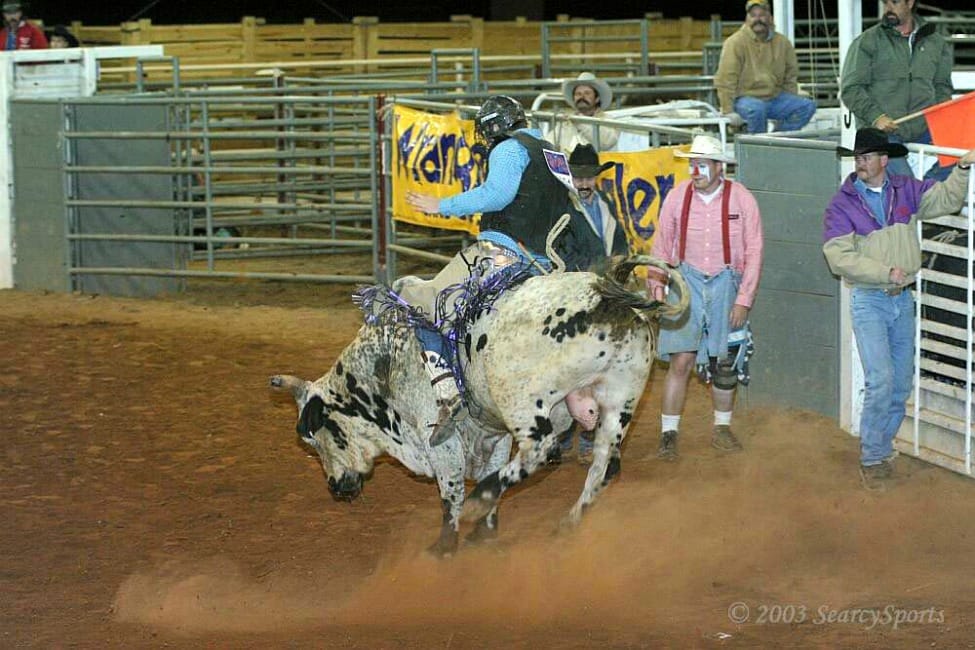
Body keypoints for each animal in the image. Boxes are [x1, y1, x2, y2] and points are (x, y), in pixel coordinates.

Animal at [270, 253, 692, 552]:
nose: (336, 487)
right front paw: (484, 534)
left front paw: (446, 544)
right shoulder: (493, 434)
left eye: (315, 437)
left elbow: (451, 493)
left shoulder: (440, 441)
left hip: (523, 400)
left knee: (541, 450)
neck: (385, 365)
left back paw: (483, 498)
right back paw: (568, 522)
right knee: (605, 465)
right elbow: (493, 468)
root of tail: (604, 291)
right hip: (618, 398)